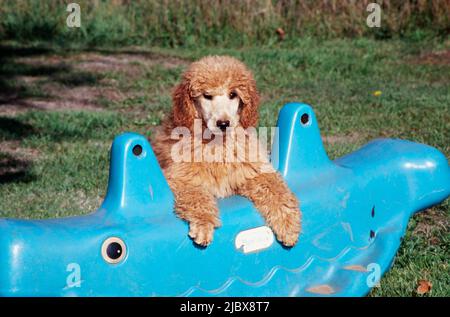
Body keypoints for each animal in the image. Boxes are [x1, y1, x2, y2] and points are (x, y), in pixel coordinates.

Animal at [152, 55, 302, 246]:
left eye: (233, 94)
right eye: (207, 95)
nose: (223, 123)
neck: (218, 143)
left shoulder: (253, 172)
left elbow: (275, 188)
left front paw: (287, 223)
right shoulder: (179, 178)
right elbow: (196, 195)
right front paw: (203, 223)